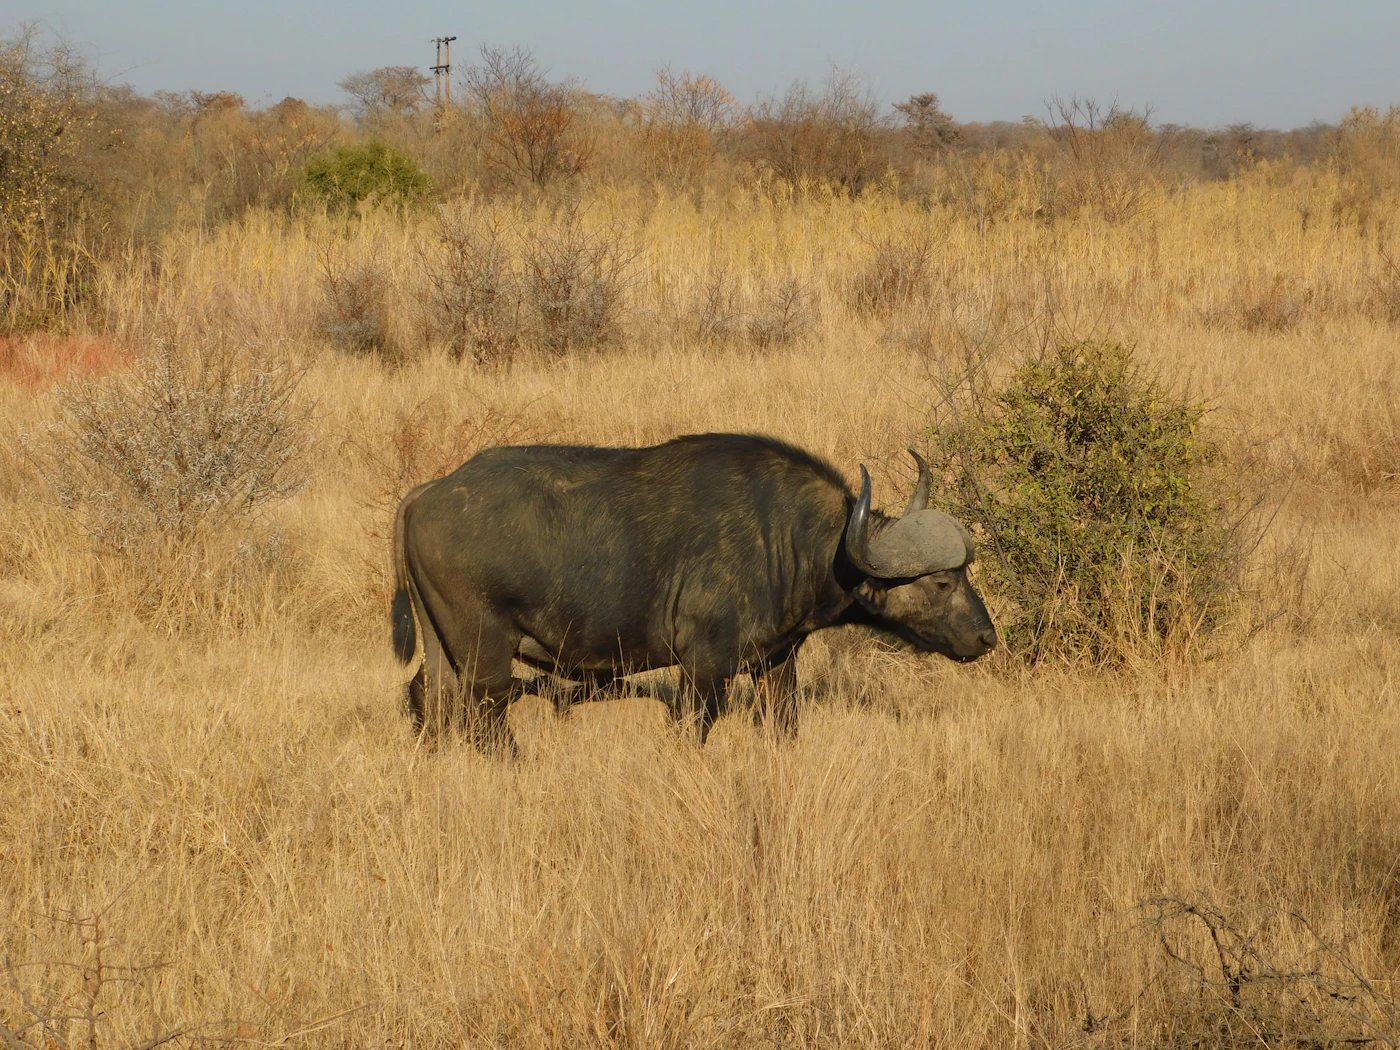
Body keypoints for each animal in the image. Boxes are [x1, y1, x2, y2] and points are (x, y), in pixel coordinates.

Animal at [390, 433, 996, 750]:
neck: (789, 540)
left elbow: (784, 726)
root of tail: (429, 492)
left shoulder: (776, 665)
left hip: (443, 651)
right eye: (943, 581)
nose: (987, 638)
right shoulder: (705, 669)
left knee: (430, 699)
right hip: (486, 652)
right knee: (486, 717)